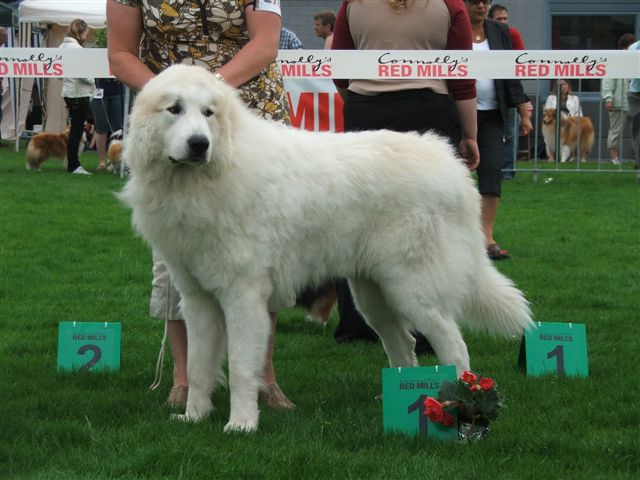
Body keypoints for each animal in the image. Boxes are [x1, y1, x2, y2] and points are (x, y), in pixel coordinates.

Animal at [122, 65, 532, 434]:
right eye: (174, 109)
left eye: (208, 113)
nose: (199, 144)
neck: (208, 177)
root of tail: (451, 164)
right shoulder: (198, 299)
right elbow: (197, 366)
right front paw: (194, 416)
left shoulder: (243, 296)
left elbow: (239, 366)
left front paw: (241, 423)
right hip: (373, 294)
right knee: (405, 342)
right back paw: (396, 400)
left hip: (413, 290)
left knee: (454, 346)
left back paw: (457, 408)